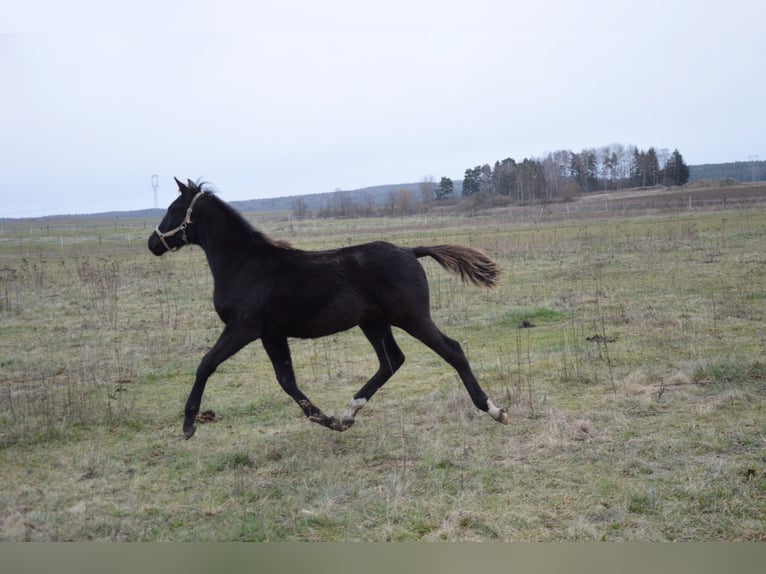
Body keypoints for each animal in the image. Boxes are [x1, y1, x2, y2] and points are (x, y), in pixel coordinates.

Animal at [150, 180, 510, 440]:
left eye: (174, 209)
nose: (152, 244)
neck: (247, 265)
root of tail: (410, 251)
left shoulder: (243, 328)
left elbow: (206, 364)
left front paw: (189, 423)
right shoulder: (271, 334)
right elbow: (287, 381)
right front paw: (330, 420)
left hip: (411, 317)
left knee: (452, 350)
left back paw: (494, 410)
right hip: (374, 322)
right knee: (392, 360)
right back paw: (350, 412)